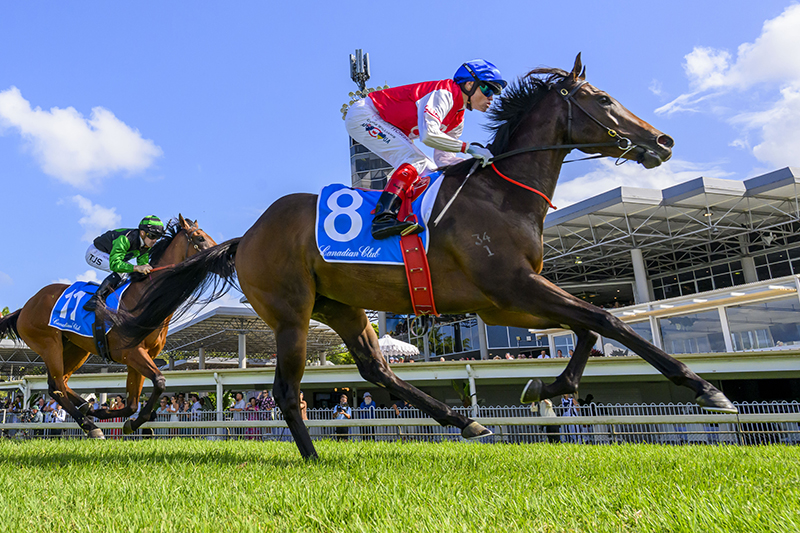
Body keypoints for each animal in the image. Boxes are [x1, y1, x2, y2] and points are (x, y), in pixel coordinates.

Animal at [0, 215, 216, 436]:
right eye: (199, 238)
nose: (219, 252)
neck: (144, 301)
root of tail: (24, 308)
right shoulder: (130, 352)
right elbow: (159, 381)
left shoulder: (140, 355)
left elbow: (132, 403)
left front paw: (120, 418)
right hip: (48, 344)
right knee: (57, 384)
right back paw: (91, 426)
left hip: (75, 348)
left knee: (59, 383)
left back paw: (86, 408)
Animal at [109, 56, 736, 460]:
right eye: (603, 99)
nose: (664, 142)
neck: (502, 194)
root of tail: (247, 235)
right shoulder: (509, 290)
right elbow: (606, 318)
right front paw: (708, 390)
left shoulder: (508, 301)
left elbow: (586, 327)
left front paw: (545, 388)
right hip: (291, 313)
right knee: (289, 391)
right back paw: (315, 457)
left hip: (342, 307)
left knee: (377, 369)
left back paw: (466, 421)